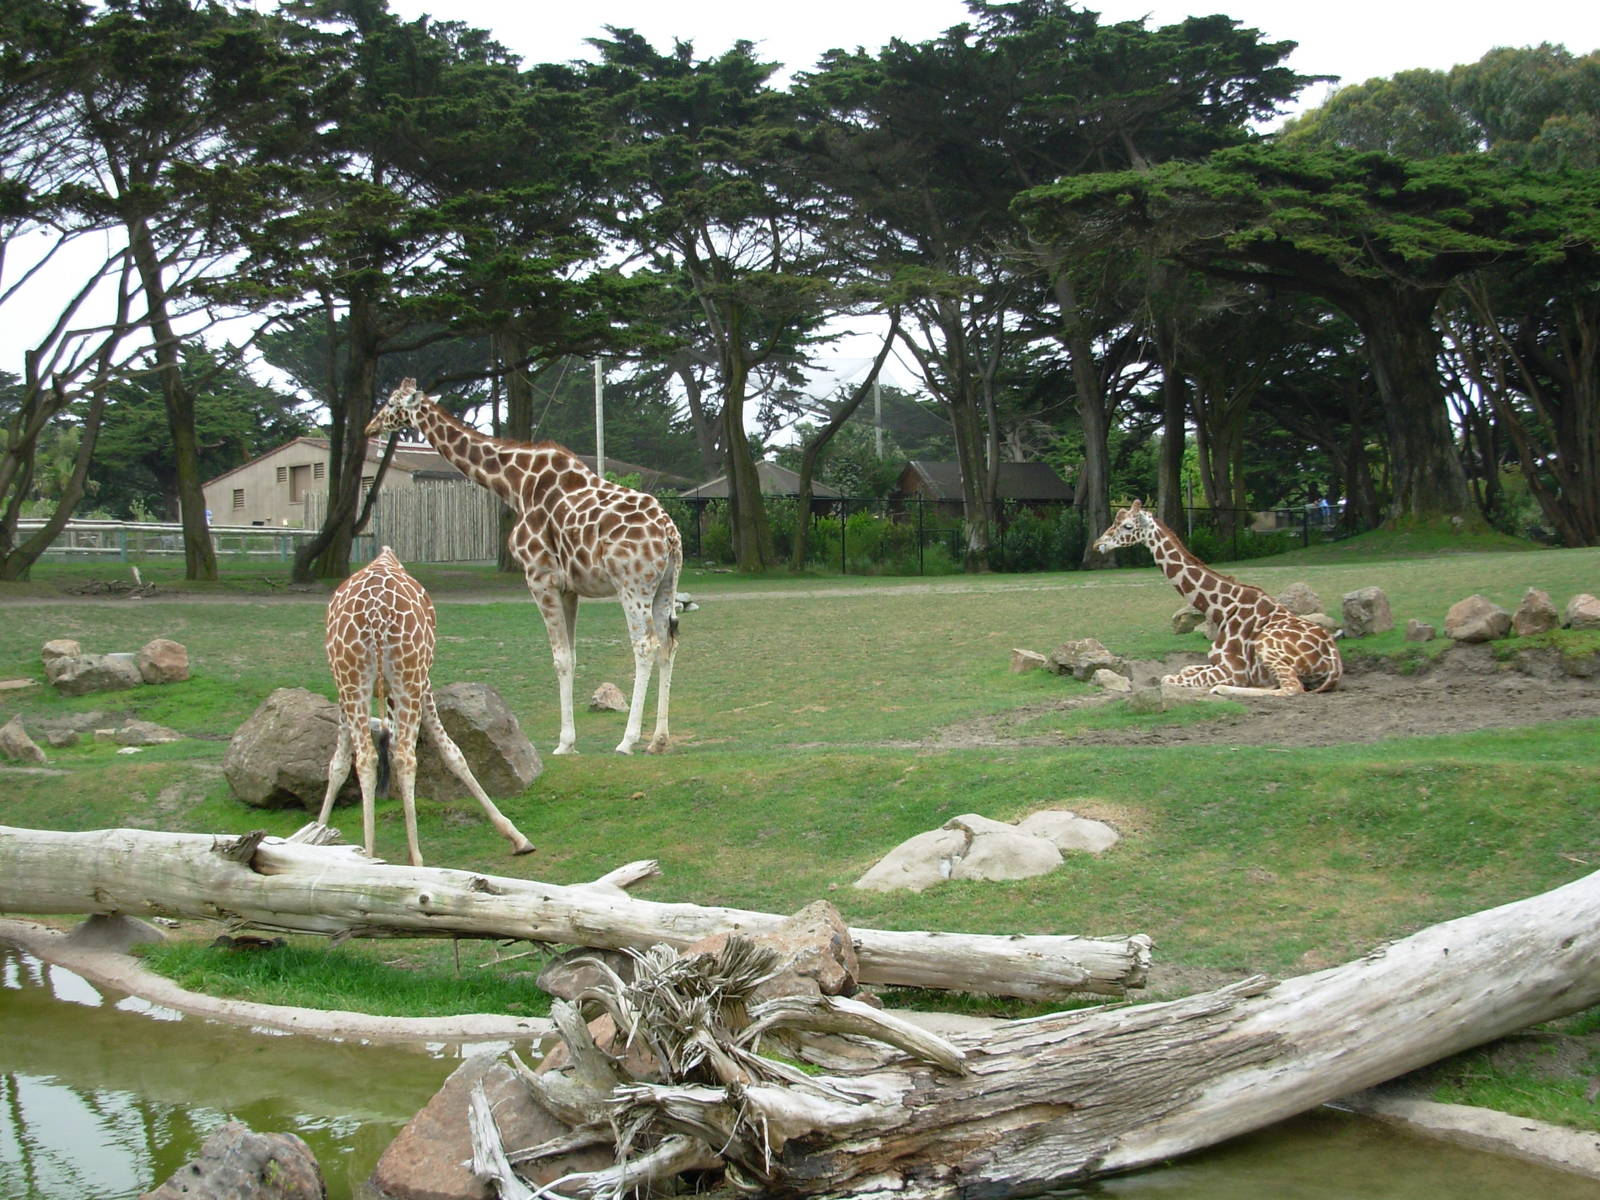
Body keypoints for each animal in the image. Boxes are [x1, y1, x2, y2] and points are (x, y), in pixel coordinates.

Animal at [317, 546, 536, 866]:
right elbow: (453, 753)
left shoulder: (345, 690)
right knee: (405, 756)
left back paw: (369, 856)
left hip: (354, 678)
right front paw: (518, 837)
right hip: (409, 677)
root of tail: (375, 615)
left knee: (368, 757)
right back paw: (417, 859)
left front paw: (318, 832)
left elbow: (338, 763)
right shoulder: (424, 682)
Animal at [366, 379, 682, 755]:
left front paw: (563, 744)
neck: (516, 484)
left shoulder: (539, 577)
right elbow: (571, 656)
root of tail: (669, 534)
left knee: (645, 645)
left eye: (390, 403)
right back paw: (659, 741)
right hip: (665, 585)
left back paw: (628, 740)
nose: (370, 427)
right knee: (667, 644)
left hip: (632, 586)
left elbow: (560, 659)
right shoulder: (568, 588)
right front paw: (570, 742)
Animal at [1093, 500, 1342, 697]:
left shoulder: (1232, 669)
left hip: (1267, 644)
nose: (1098, 544)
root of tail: (1334, 661)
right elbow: (1184, 670)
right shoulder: (1214, 663)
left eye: (1127, 525)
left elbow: (1169, 678)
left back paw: (1221, 688)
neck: (1221, 608)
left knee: (1292, 688)